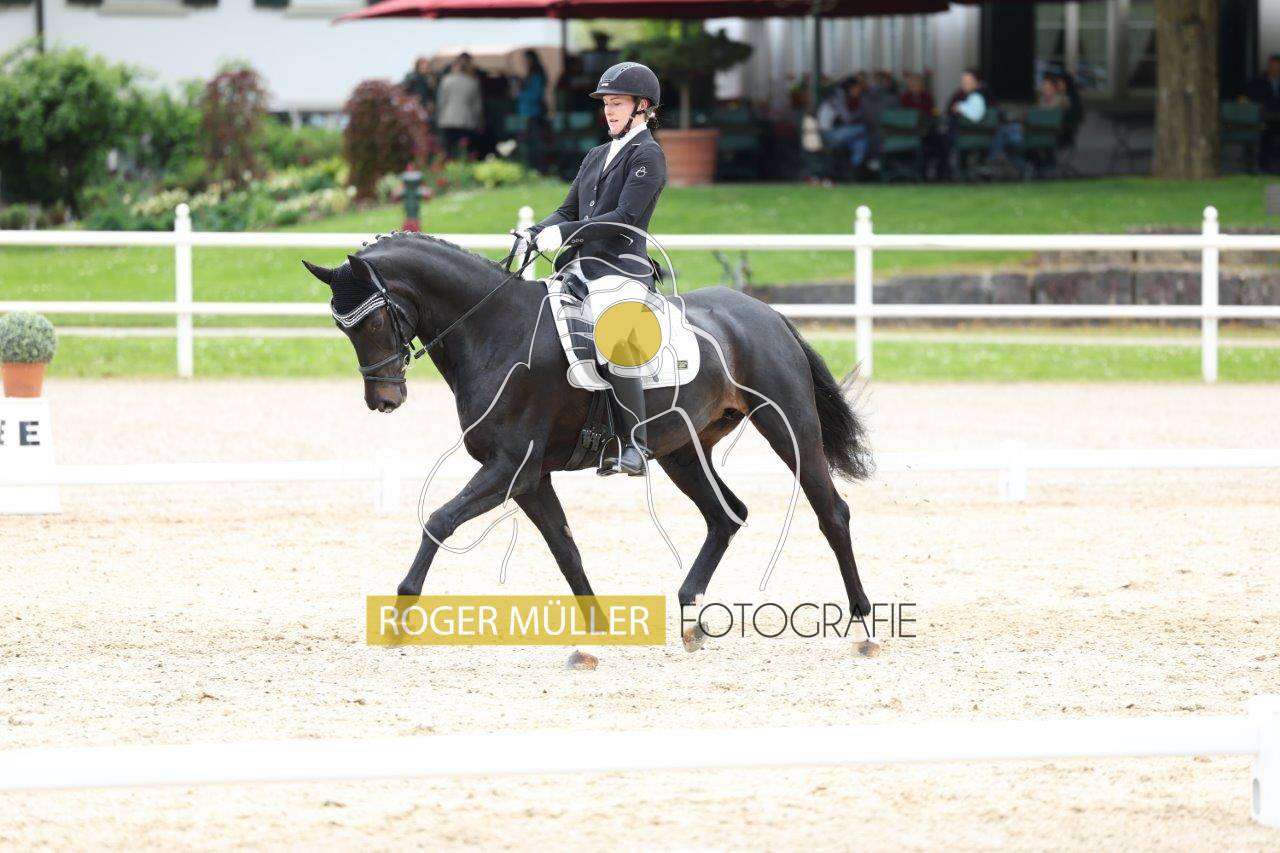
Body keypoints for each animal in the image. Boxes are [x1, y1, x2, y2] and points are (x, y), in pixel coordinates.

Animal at [303, 232, 875, 649]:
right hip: (682, 451)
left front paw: (400, 616)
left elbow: (439, 521)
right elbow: (566, 549)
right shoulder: (529, 479)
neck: (496, 330)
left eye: (374, 319)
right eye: (343, 327)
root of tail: (766, 313)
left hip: (788, 426)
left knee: (832, 511)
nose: (384, 399)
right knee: (725, 515)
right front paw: (600, 627)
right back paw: (689, 613)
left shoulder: (508, 467)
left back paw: (861, 617)